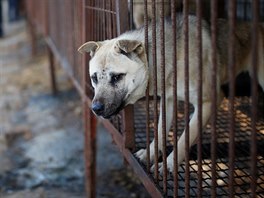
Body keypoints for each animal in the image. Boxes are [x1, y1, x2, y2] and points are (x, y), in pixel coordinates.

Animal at [78, 15, 264, 173]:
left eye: (117, 77)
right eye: (94, 78)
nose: (96, 108)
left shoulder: (209, 100)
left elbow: (184, 138)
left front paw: (168, 165)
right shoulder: (168, 100)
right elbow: (160, 130)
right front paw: (150, 153)